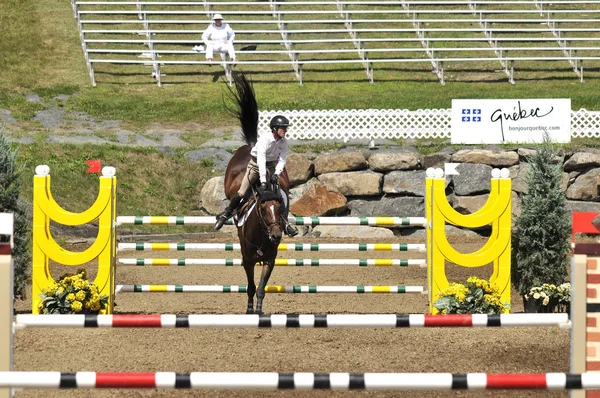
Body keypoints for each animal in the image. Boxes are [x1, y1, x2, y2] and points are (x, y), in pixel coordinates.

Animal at [224, 74, 292, 314]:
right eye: (262, 209)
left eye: (280, 208)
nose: (276, 235)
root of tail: (249, 146)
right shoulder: (247, 260)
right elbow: (251, 286)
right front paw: (249, 310)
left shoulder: (270, 260)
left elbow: (261, 287)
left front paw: (260, 310)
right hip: (241, 177)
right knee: (236, 195)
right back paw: (221, 217)